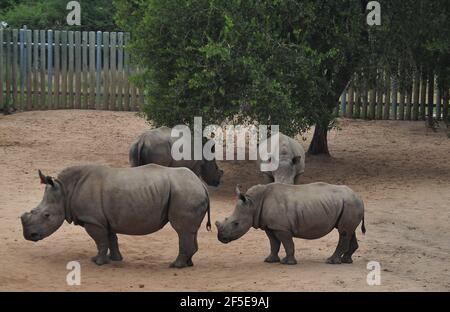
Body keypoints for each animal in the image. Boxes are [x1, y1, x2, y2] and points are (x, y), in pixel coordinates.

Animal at [20, 166, 211, 268]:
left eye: (47, 215)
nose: (29, 236)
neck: (65, 191)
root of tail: (202, 185)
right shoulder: (104, 219)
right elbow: (111, 238)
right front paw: (115, 259)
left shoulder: (93, 220)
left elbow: (100, 241)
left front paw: (97, 262)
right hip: (188, 192)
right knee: (189, 231)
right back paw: (188, 264)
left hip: (186, 193)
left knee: (181, 230)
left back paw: (175, 265)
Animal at [215, 183, 366, 266]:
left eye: (236, 223)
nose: (221, 238)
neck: (253, 203)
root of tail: (359, 197)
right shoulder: (270, 226)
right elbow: (274, 243)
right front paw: (270, 260)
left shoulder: (282, 228)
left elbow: (287, 244)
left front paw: (288, 263)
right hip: (349, 204)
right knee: (348, 231)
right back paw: (346, 260)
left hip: (350, 204)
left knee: (344, 232)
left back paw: (331, 261)